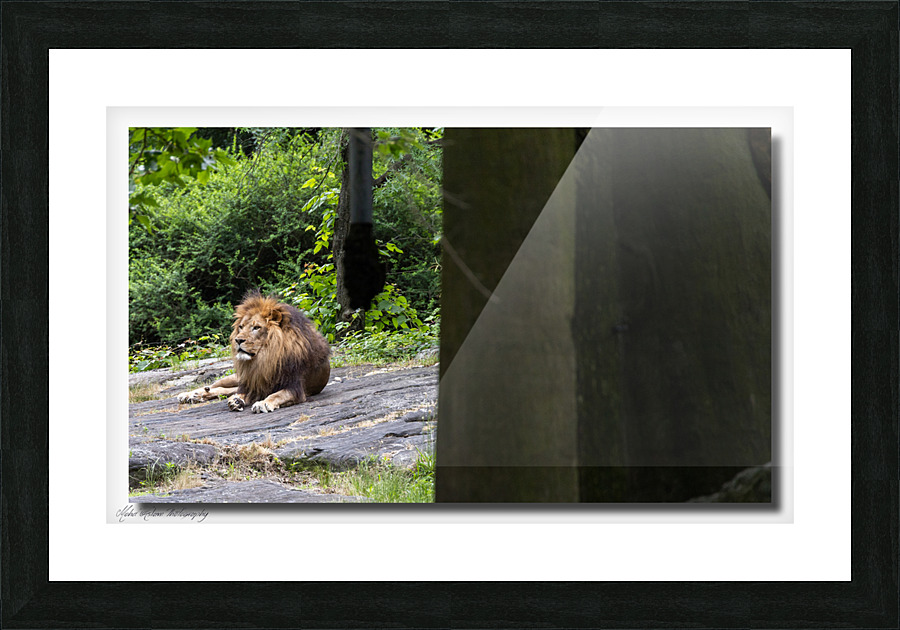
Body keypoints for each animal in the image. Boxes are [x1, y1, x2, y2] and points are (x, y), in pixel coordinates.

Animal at [177, 291, 331, 413]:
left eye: (256, 327)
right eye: (241, 327)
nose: (238, 340)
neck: (266, 358)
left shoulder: (295, 387)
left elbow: (277, 395)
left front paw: (263, 403)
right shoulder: (251, 382)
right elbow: (241, 393)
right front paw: (237, 401)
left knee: (224, 390)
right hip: (236, 377)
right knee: (217, 386)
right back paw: (189, 395)